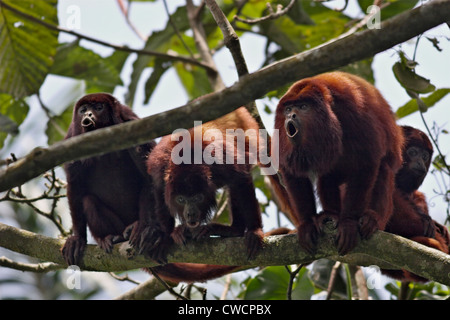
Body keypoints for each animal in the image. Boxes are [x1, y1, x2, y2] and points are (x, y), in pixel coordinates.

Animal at [62, 94, 156, 266]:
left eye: (98, 108)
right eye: (83, 110)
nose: (88, 115)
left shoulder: (132, 121)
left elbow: (150, 174)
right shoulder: (72, 138)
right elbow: (74, 185)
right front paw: (77, 239)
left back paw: (138, 228)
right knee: (88, 201)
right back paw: (112, 237)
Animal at [274, 72, 404, 255]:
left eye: (303, 107)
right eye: (288, 109)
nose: (291, 116)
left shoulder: (353, 109)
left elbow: (367, 160)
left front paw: (348, 222)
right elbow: (292, 171)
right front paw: (306, 224)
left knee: (383, 169)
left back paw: (373, 218)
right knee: (327, 178)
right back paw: (331, 214)